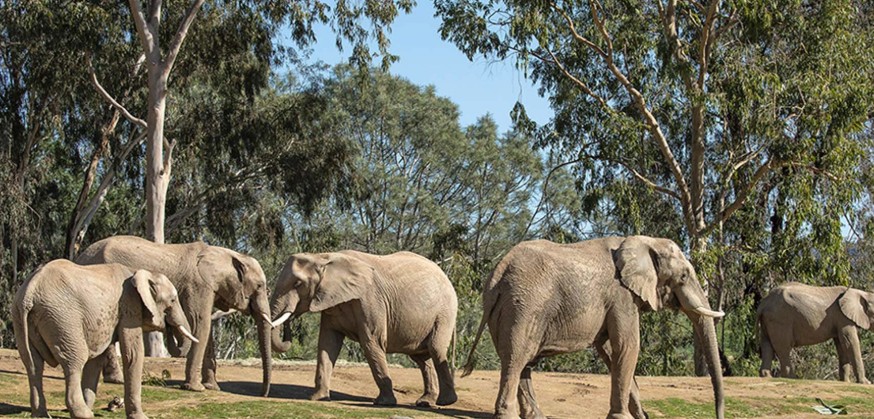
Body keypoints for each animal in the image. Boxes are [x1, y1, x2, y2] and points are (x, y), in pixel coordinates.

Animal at [12, 260, 197, 419]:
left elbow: (97, 360)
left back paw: (42, 415)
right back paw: (84, 414)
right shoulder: (129, 306)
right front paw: (141, 417)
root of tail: (30, 291)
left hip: (21, 317)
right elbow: (133, 354)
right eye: (172, 300)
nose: (168, 325)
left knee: (33, 364)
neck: (138, 272)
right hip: (62, 318)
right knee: (74, 361)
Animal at [76, 235, 273, 396]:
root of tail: (81, 256)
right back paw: (118, 380)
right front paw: (196, 389)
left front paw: (212, 387)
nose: (262, 394)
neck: (227, 254)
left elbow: (205, 328)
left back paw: (114, 379)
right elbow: (200, 324)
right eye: (259, 286)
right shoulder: (198, 285)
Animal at [269, 250, 458, 407]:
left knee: (435, 349)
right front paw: (318, 398)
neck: (323, 257)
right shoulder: (332, 304)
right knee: (421, 358)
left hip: (445, 312)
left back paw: (446, 401)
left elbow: (372, 342)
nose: (290, 320)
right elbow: (327, 343)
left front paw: (384, 403)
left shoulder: (370, 300)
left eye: (297, 284)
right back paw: (425, 402)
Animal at [461, 236, 725, 419]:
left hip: (509, 310)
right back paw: (508, 415)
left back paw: (536, 417)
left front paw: (640, 416)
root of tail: (498, 272)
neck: (644, 241)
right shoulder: (621, 295)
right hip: (523, 306)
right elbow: (627, 347)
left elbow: (610, 350)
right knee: (516, 359)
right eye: (684, 276)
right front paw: (623, 417)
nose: (719, 416)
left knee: (523, 362)